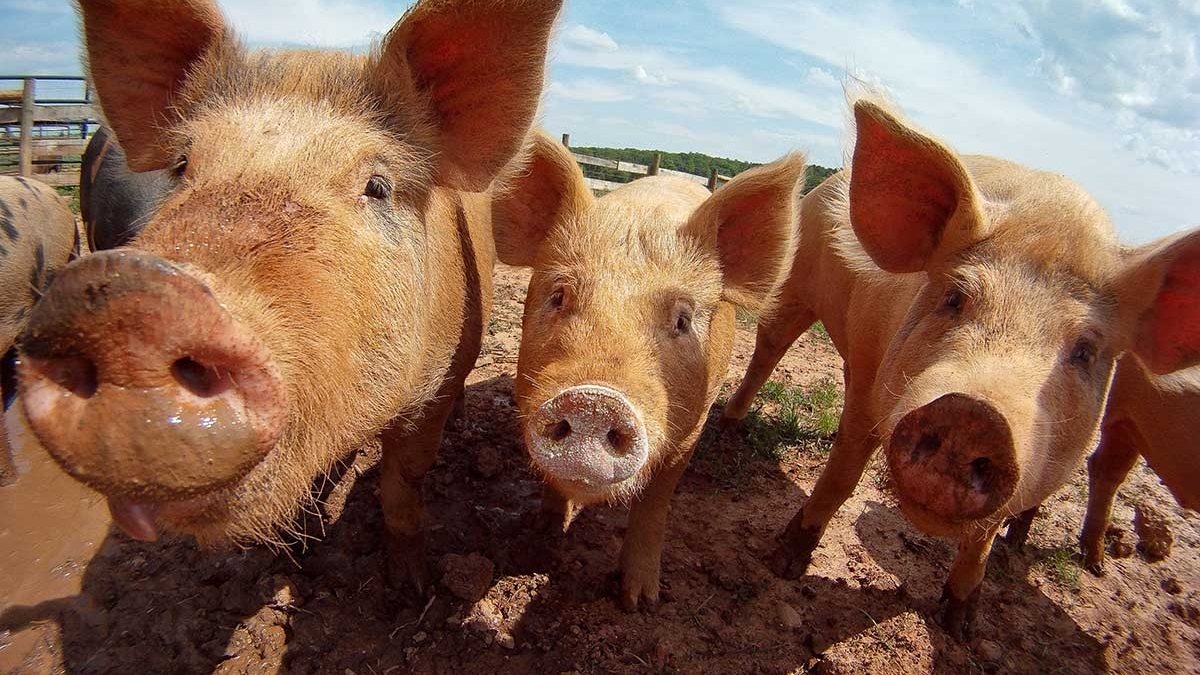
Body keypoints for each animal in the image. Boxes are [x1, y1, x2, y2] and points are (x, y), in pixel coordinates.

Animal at [8, 0, 561, 588]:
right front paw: (293, 554)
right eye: (182, 166)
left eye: (378, 186)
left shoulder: (435, 387)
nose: (130, 297)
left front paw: (410, 584)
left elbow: (403, 480)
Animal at [487, 131, 806, 610]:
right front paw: (544, 536)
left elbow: (655, 501)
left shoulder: (691, 428)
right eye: (559, 296)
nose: (594, 401)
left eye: (683, 320)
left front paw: (640, 601)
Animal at [715, 94, 1200, 634]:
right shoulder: (871, 386)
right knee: (767, 351)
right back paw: (729, 425)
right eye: (954, 298)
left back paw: (1089, 564)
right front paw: (784, 563)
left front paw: (961, 626)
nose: (973, 415)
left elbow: (982, 538)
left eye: (1085, 350)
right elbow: (843, 474)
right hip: (795, 285)